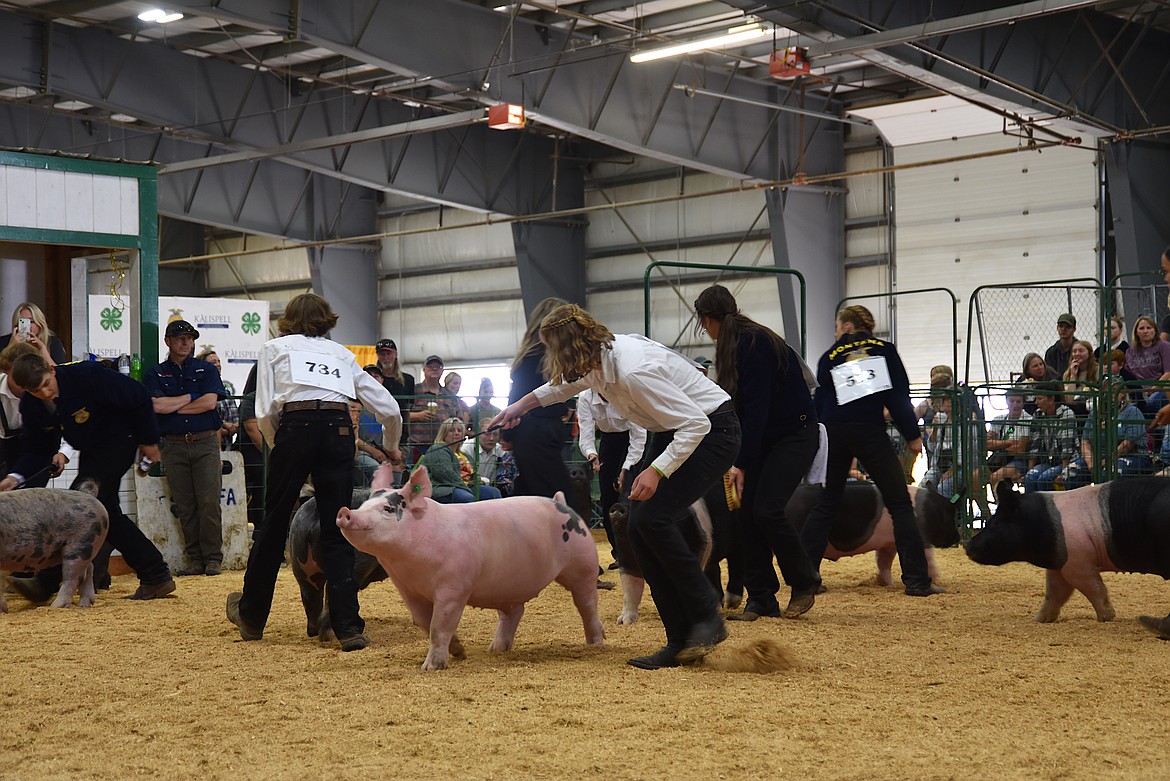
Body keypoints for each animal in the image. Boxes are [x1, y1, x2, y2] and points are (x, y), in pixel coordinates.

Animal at [0, 479, 108, 612]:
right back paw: (83, 605)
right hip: (86, 547)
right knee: (89, 569)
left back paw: (55, 607)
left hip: (80, 546)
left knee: (73, 578)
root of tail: (89, 495)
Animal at [332, 462, 599, 673]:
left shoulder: (454, 587)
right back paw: (495, 650)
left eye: (388, 508)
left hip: (583, 564)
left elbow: (439, 626)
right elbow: (423, 622)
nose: (345, 512)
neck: (410, 565)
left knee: (586, 604)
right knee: (513, 613)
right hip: (508, 587)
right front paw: (459, 652)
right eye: (364, 504)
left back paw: (595, 643)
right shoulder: (408, 590)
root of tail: (561, 503)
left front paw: (431, 667)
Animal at [964, 477, 1165, 621]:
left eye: (995, 523)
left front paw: (1106, 617)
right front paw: (1040, 619)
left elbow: (1095, 589)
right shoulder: (1060, 564)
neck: (1041, 522)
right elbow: (1054, 594)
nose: (966, 544)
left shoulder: (1078, 563)